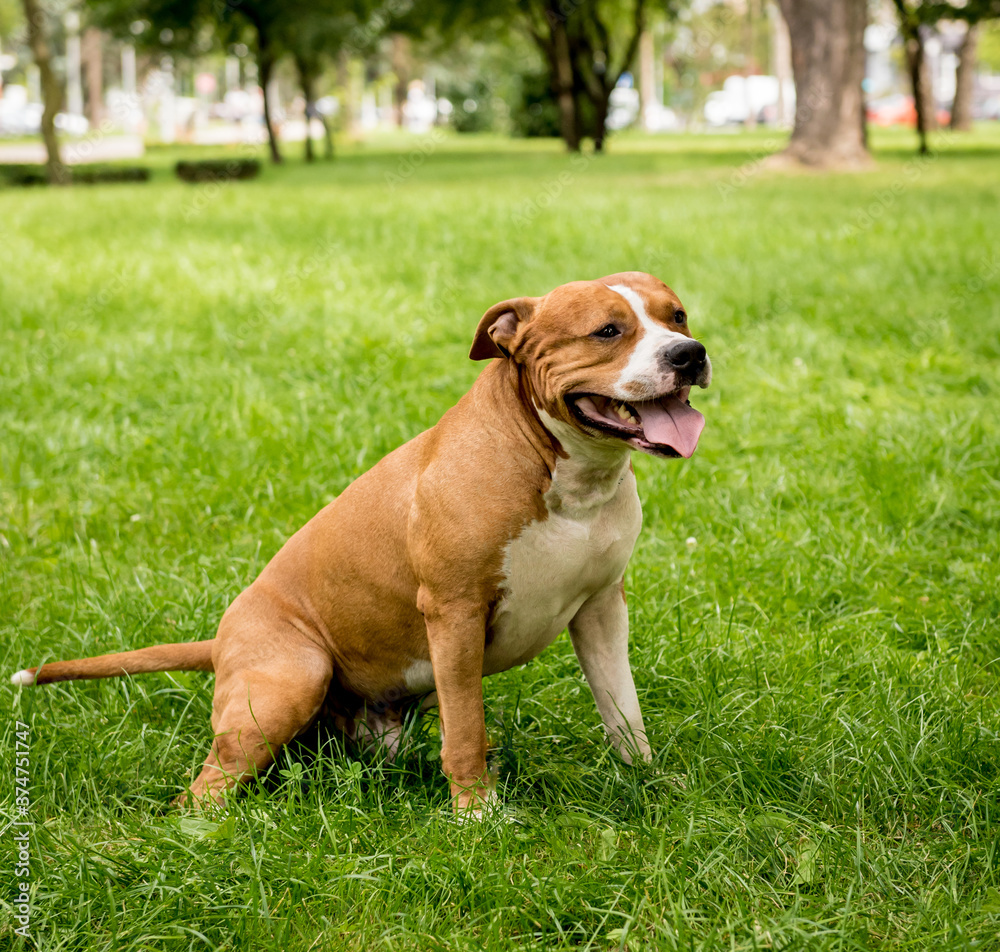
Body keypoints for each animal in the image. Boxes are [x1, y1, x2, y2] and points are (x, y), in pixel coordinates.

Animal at [9, 272, 712, 816]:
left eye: (676, 315)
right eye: (607, 331)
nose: (689, 353)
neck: (564, 472)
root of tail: (222, 639)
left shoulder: (601, 607)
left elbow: (623, 710)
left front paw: (649, 780)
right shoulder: (454, 612)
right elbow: (468, 728)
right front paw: (477, 815)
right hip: (291, 679)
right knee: (205, 788)